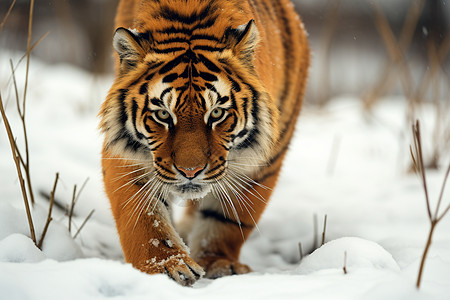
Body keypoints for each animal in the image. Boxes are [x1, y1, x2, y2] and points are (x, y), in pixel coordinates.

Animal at [99, 0, 310, 284]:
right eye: (163, 114)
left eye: (217, 113)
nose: (190, 172)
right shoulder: (127, 154)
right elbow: (144, 219)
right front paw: (166, 266)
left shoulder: (258, 164)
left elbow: (226, 221)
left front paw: (218, 263)